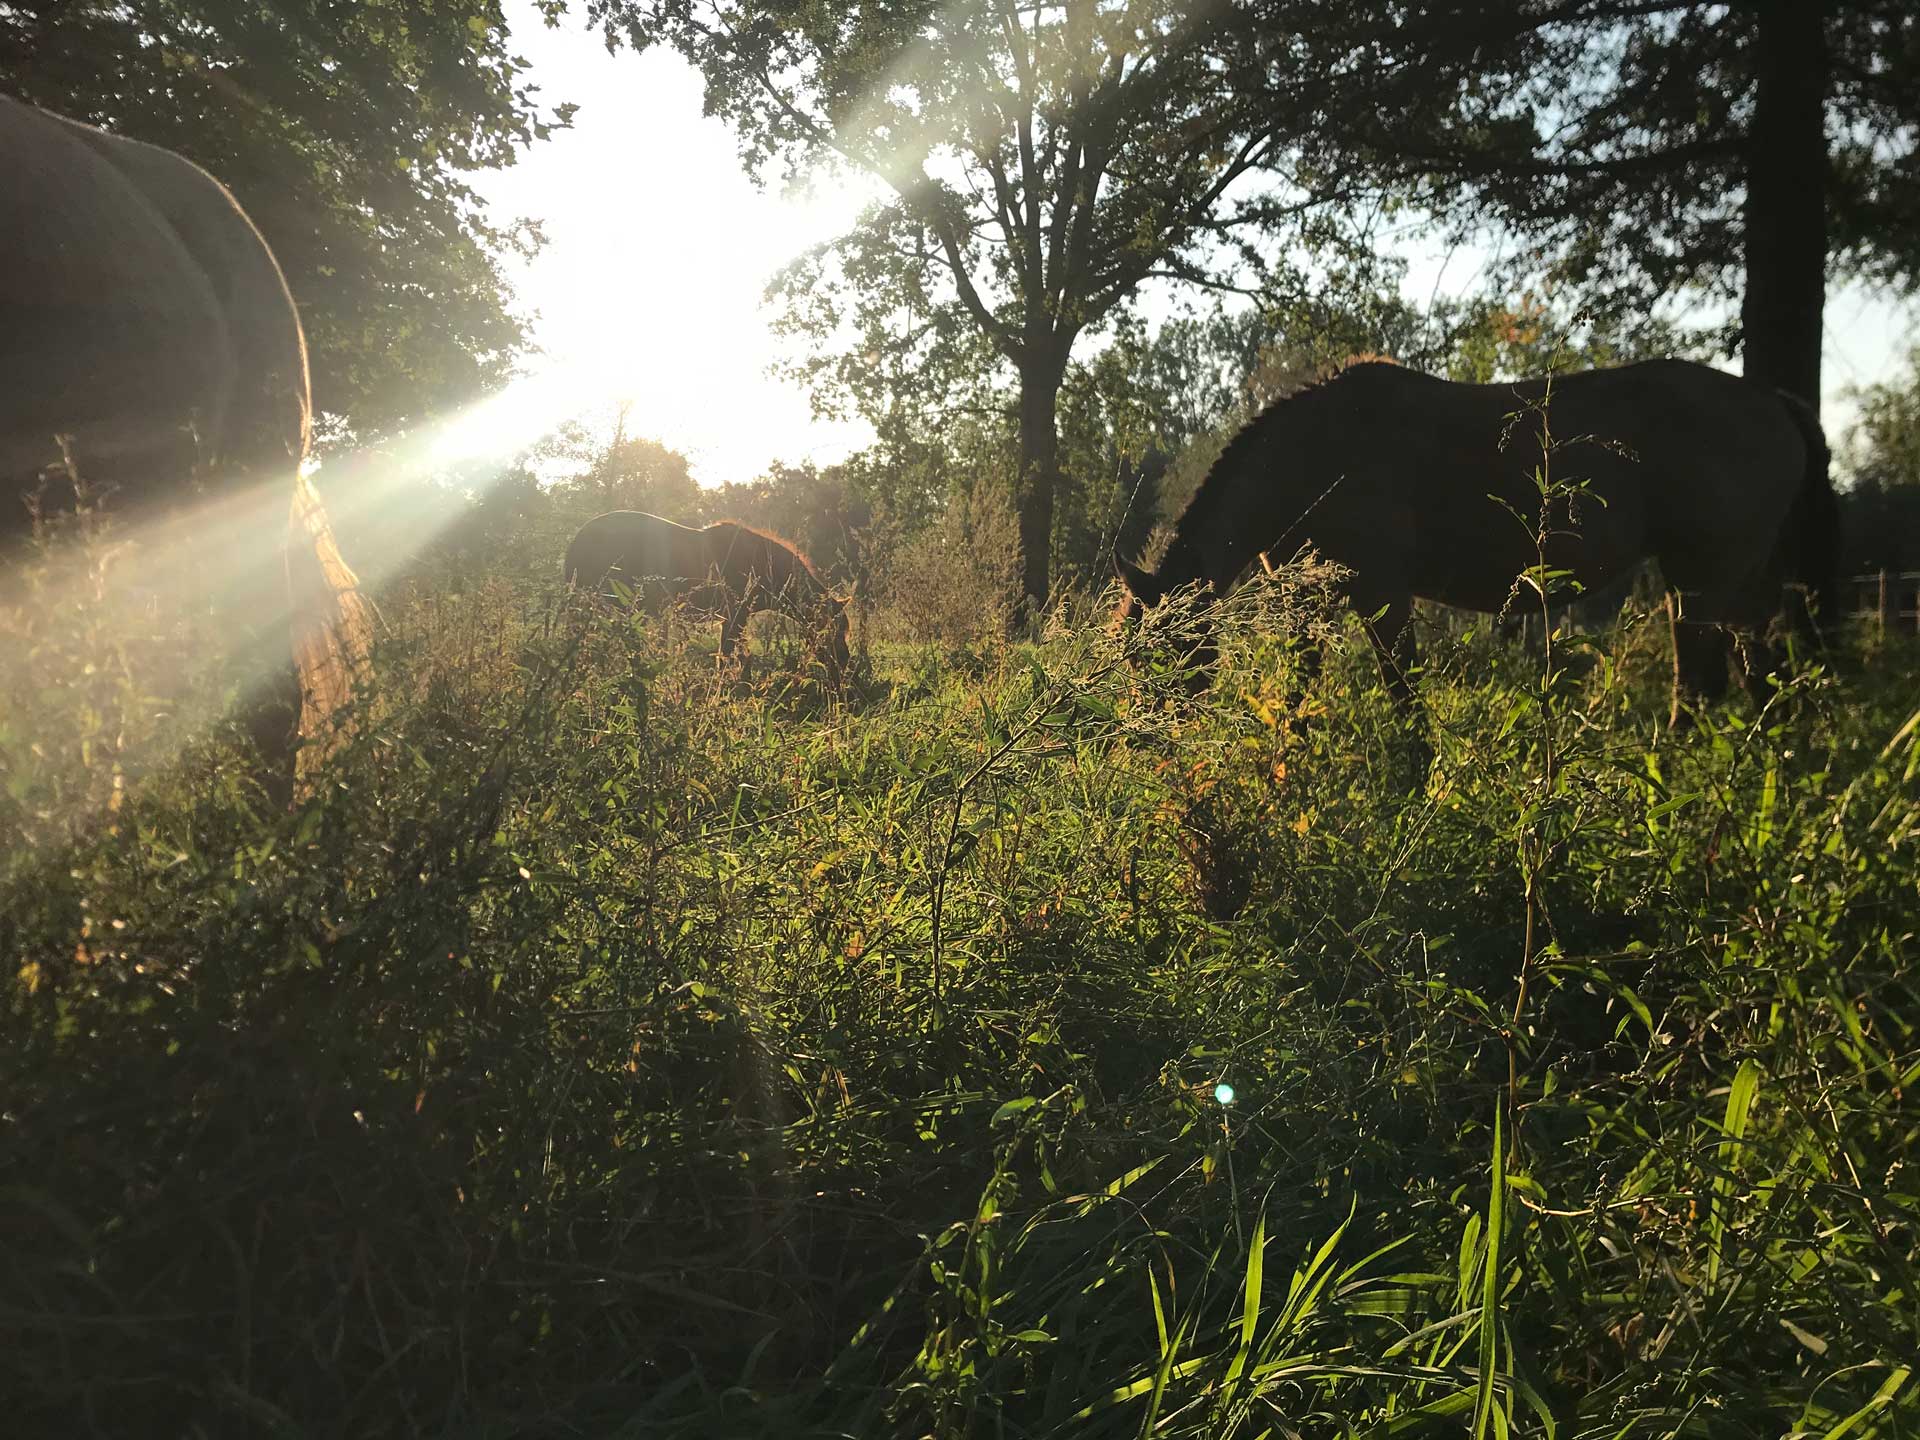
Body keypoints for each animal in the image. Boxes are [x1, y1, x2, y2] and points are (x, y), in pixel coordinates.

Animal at [560, 510, 848, 683]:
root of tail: (577, 540)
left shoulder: (733, 619)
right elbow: (726, 653)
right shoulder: (734, 616)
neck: (759, 563)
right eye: (835, 630)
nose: (843, 666)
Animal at [1121, 357, 1835, 725]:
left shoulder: (1384, 596)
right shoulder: (1309, 601)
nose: (1144, 741)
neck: (1319, 458)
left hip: (1704, 580)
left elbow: (1404, 697)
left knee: (1705, 686)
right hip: (1733, 586)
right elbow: (1297, 693)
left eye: (1159, 655)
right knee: (1762, 679)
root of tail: (1774, 402)